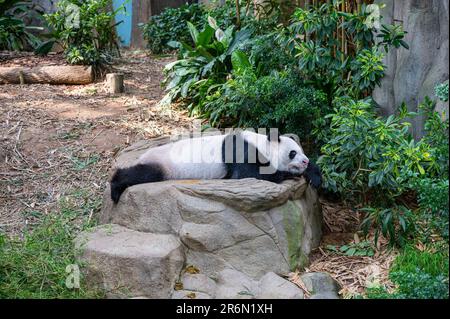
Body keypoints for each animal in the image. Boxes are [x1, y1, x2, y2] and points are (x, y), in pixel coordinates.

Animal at [110, 131, 322, 204]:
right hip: (163, 164)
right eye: (292, 153)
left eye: (301, 151)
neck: (262, 144)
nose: (304, 161)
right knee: (142, 173)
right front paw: (286, 174)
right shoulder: (240, 151)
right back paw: (115, 187)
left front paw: (315, 176)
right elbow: (246, 174)